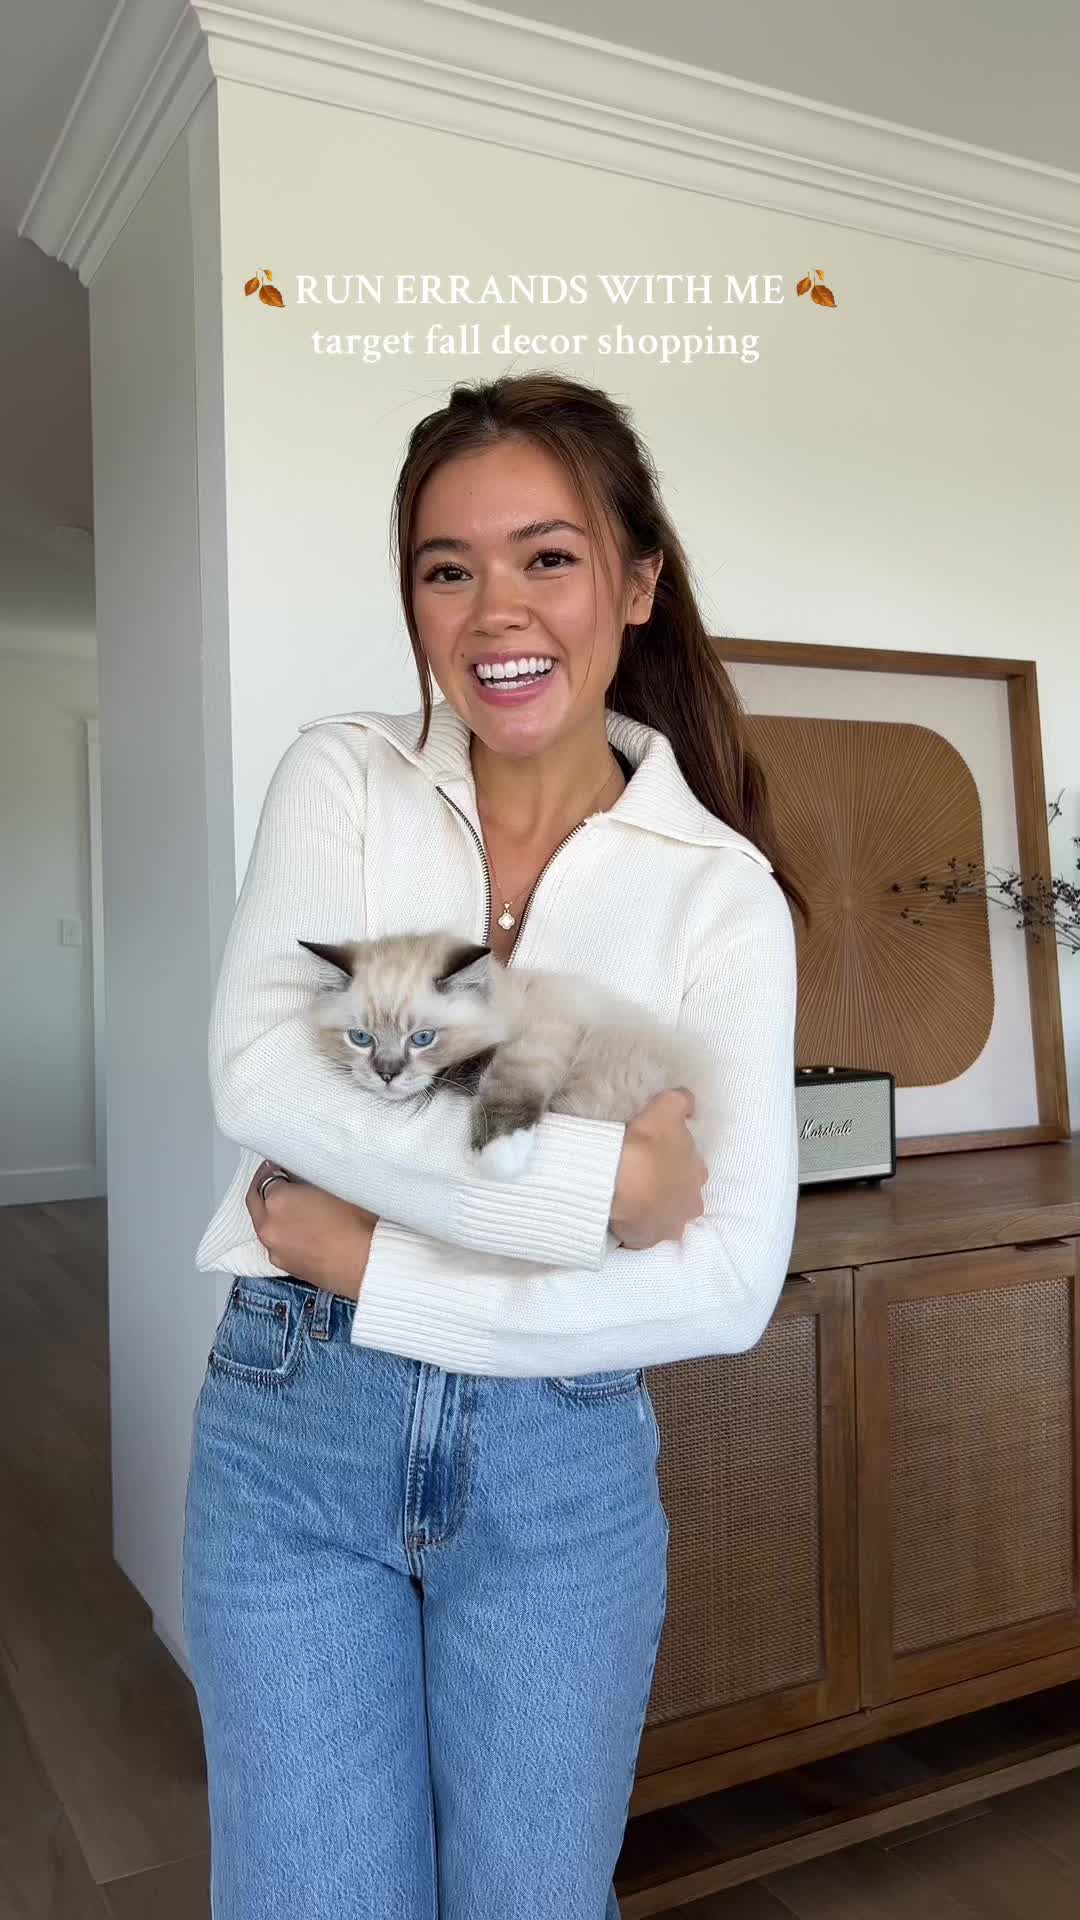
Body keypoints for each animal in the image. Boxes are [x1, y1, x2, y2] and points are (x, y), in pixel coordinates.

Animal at [297, 930, 717, 1177]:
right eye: (361, 1038)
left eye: (422, 1039)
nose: (386, 1074)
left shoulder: (542, 1037)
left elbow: (506, 1088)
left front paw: (498, 1157)